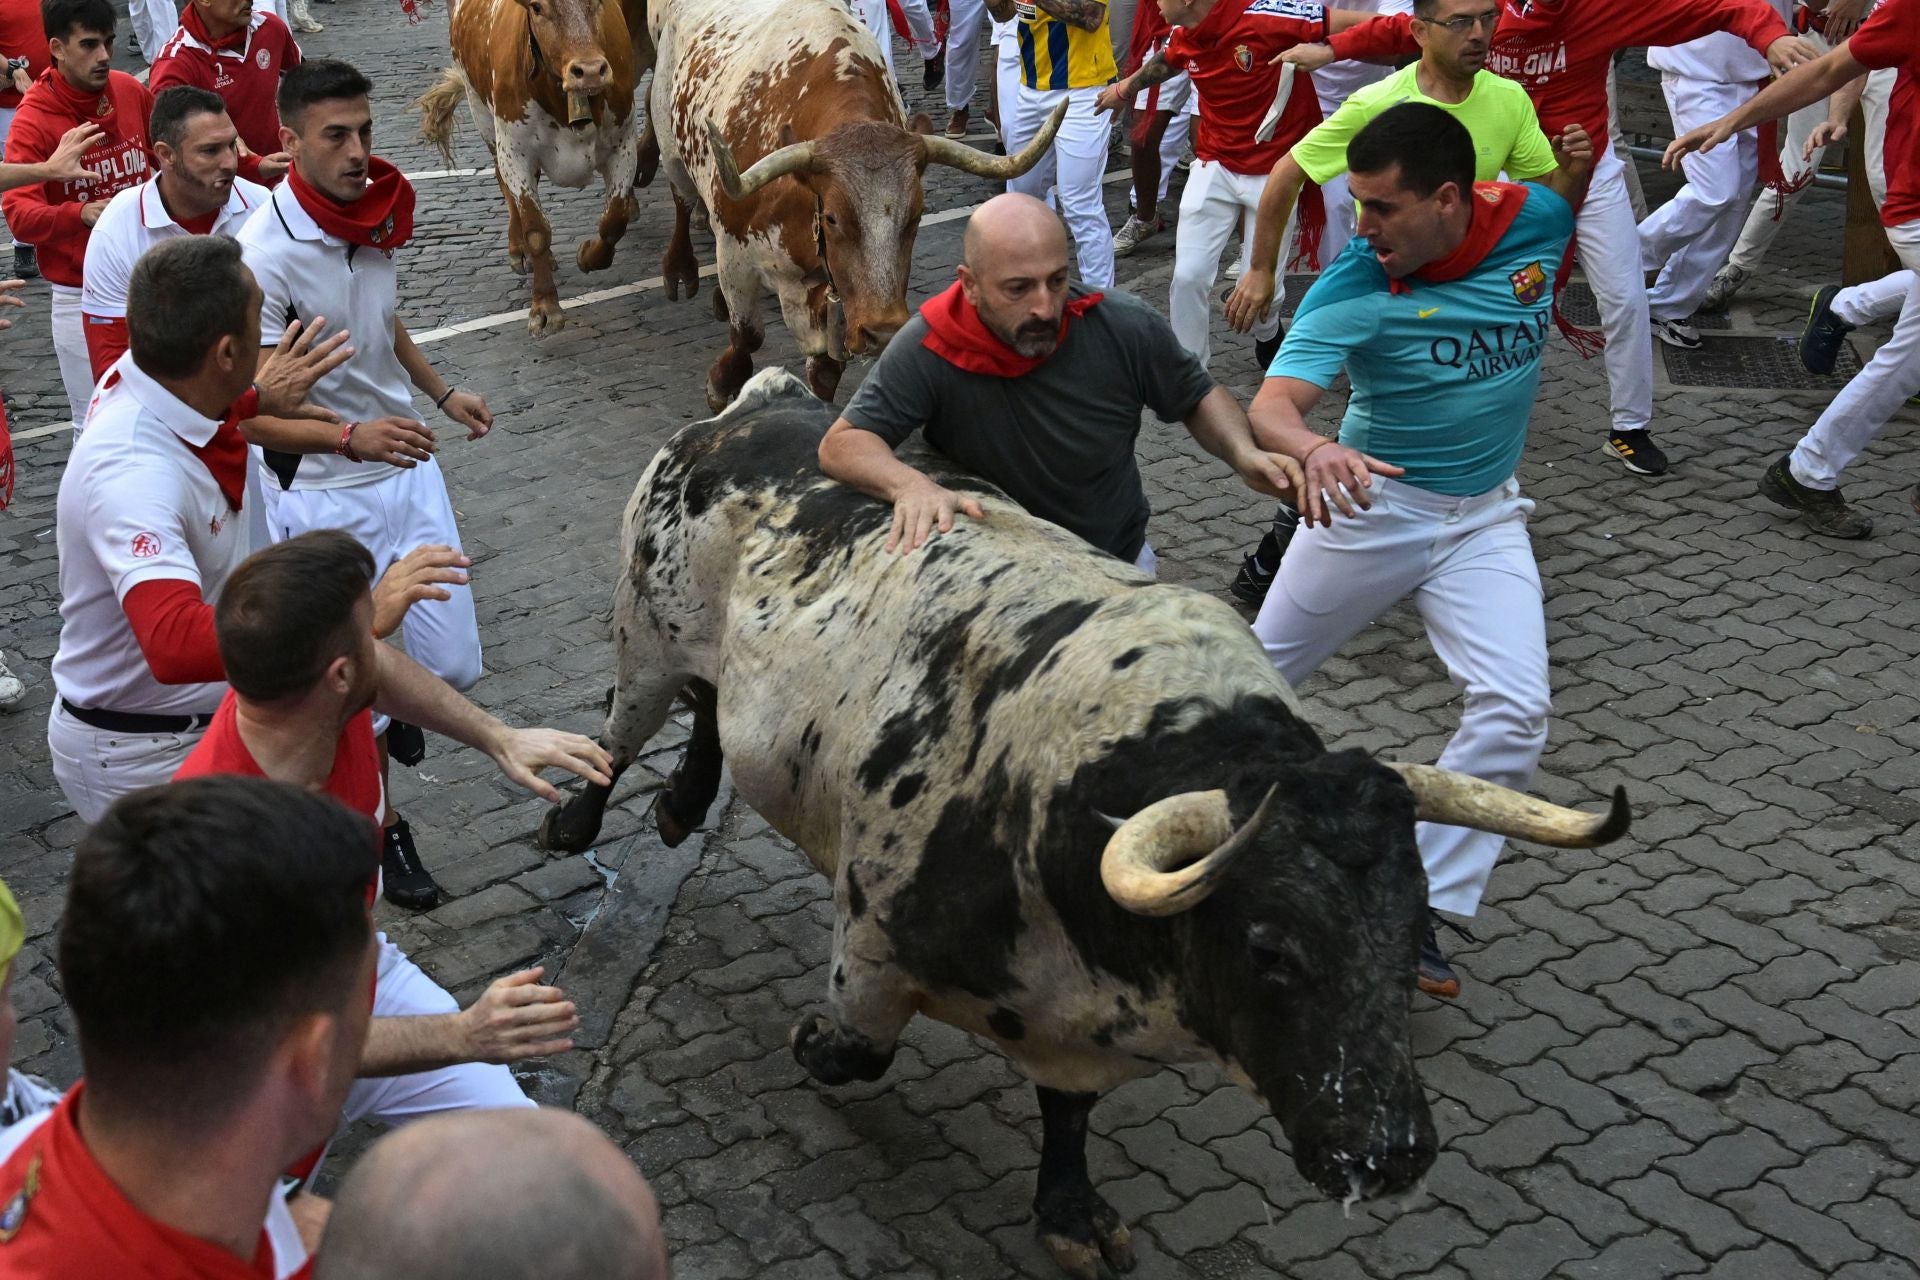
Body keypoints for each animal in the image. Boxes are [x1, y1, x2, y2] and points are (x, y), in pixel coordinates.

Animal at [541, 372, 1635, 1280]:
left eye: (1413, 938)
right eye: (1272, 949)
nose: (1391, 1147)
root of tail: (762, 401)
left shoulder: (1074, 1020)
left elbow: (1067, 1114)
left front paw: (1068, 1210)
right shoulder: (874, 939)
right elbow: (855, 1049)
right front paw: (810, 1041)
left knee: (711, 709)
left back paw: (681, 806)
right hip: (642, 634)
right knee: (620, 729)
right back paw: (583, 815)